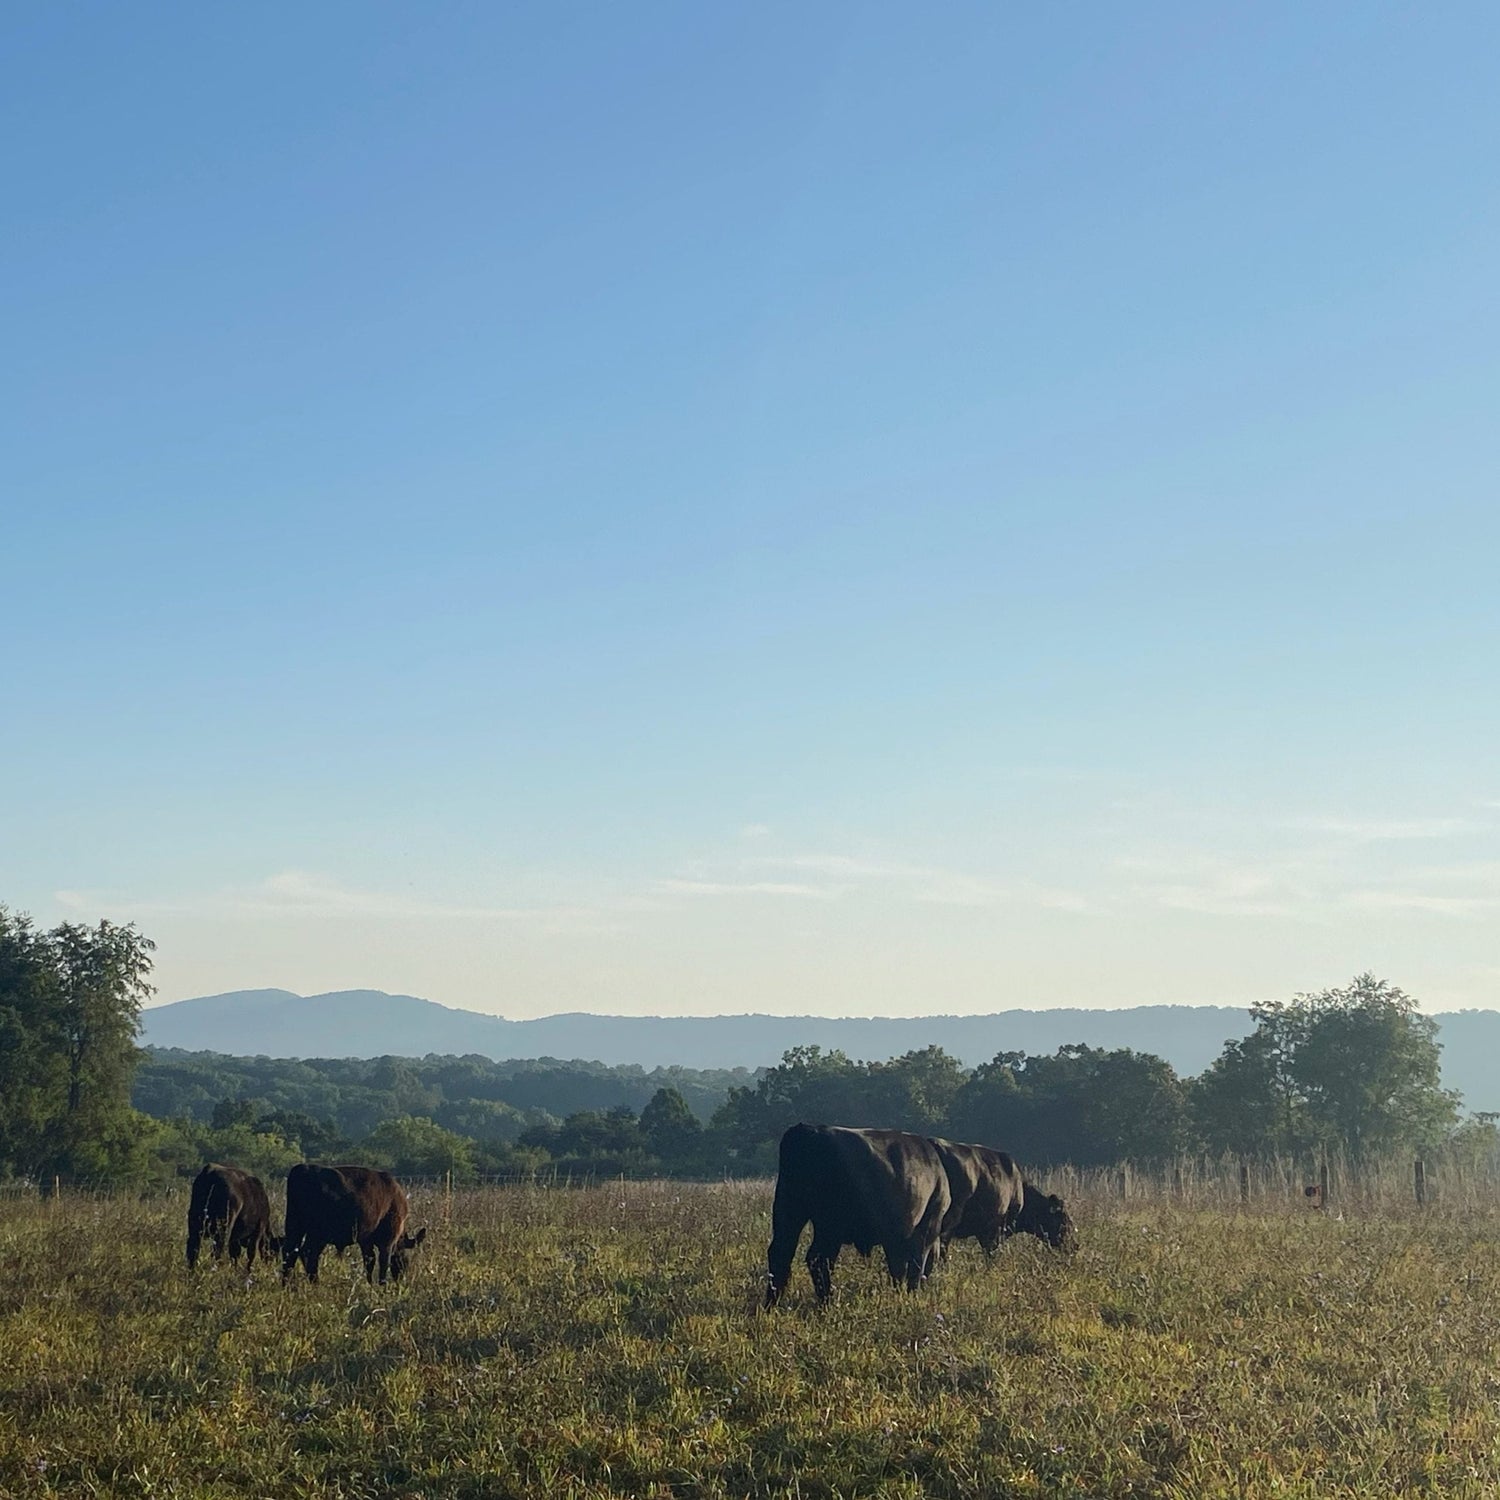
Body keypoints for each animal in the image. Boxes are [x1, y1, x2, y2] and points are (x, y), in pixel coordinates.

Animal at [282, 1164, 426, 1284]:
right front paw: (382, 1284)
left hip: (295, 1227)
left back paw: (288, 1285)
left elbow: (370, 1261)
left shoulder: (366, 1241)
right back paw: (315, 1282)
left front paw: (370, 1283)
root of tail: (302, 1169)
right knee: (307, 1253)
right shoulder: (387, 1241)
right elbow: (383, 1262)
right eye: (405, 1261)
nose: (401, 1278)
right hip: (317, 1234)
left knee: (291, 1252)